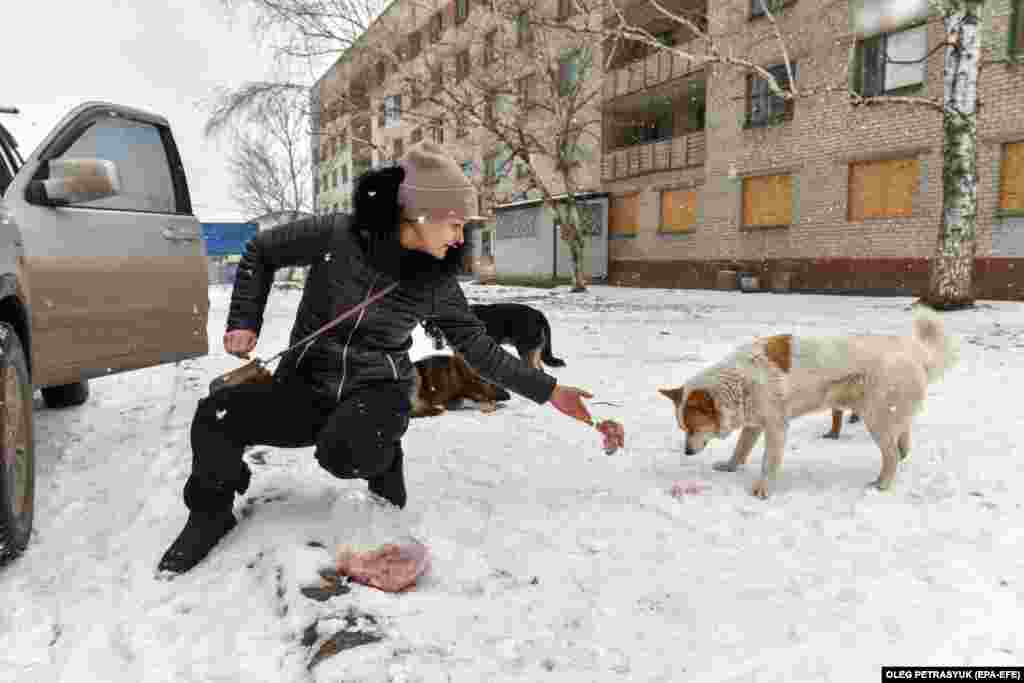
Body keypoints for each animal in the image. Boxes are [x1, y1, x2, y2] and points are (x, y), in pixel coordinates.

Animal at [659, 307, 954, 499]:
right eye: (684, 429)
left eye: (693, 428)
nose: (686, 452)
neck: (739, 383)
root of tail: (913, 352)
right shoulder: (754, 426)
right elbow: (741, 450)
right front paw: (731, 467)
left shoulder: (776, 428)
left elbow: (768, 462)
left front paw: (763, 489)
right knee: (903, 432)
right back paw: (903, 452)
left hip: (874, 418)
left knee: (890, 453)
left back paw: (883, 484)